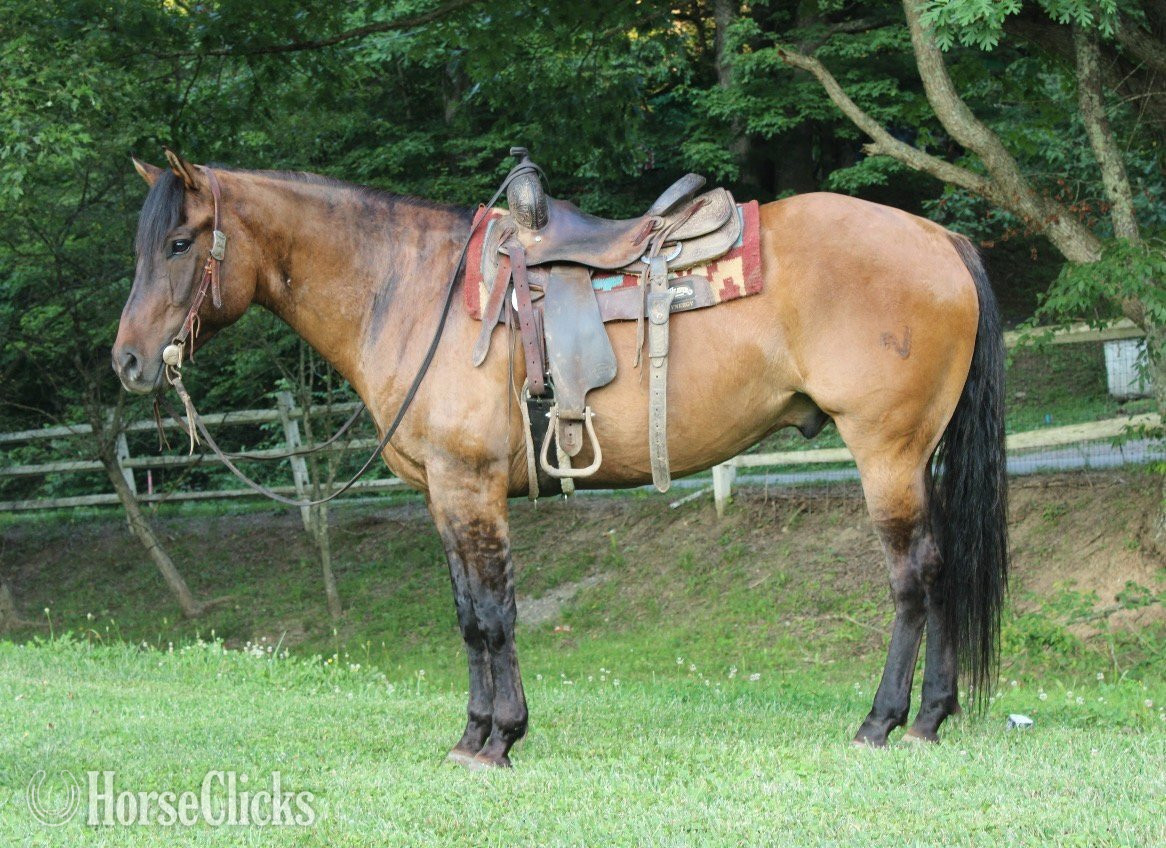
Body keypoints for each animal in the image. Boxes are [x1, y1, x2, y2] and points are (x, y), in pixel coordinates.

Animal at [112, 150, 1008, 767]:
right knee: (944, 568)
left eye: (181, 242)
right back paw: (932, 718)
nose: (127, 362)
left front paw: (499, 739)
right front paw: (474, 733)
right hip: (915, 456)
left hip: (885, 451)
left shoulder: (470, 485)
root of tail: (938, 238)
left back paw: (885, 720)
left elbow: (492, 613)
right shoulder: (442, 493)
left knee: (914, 577)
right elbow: (468, 615)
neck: (411, 291)